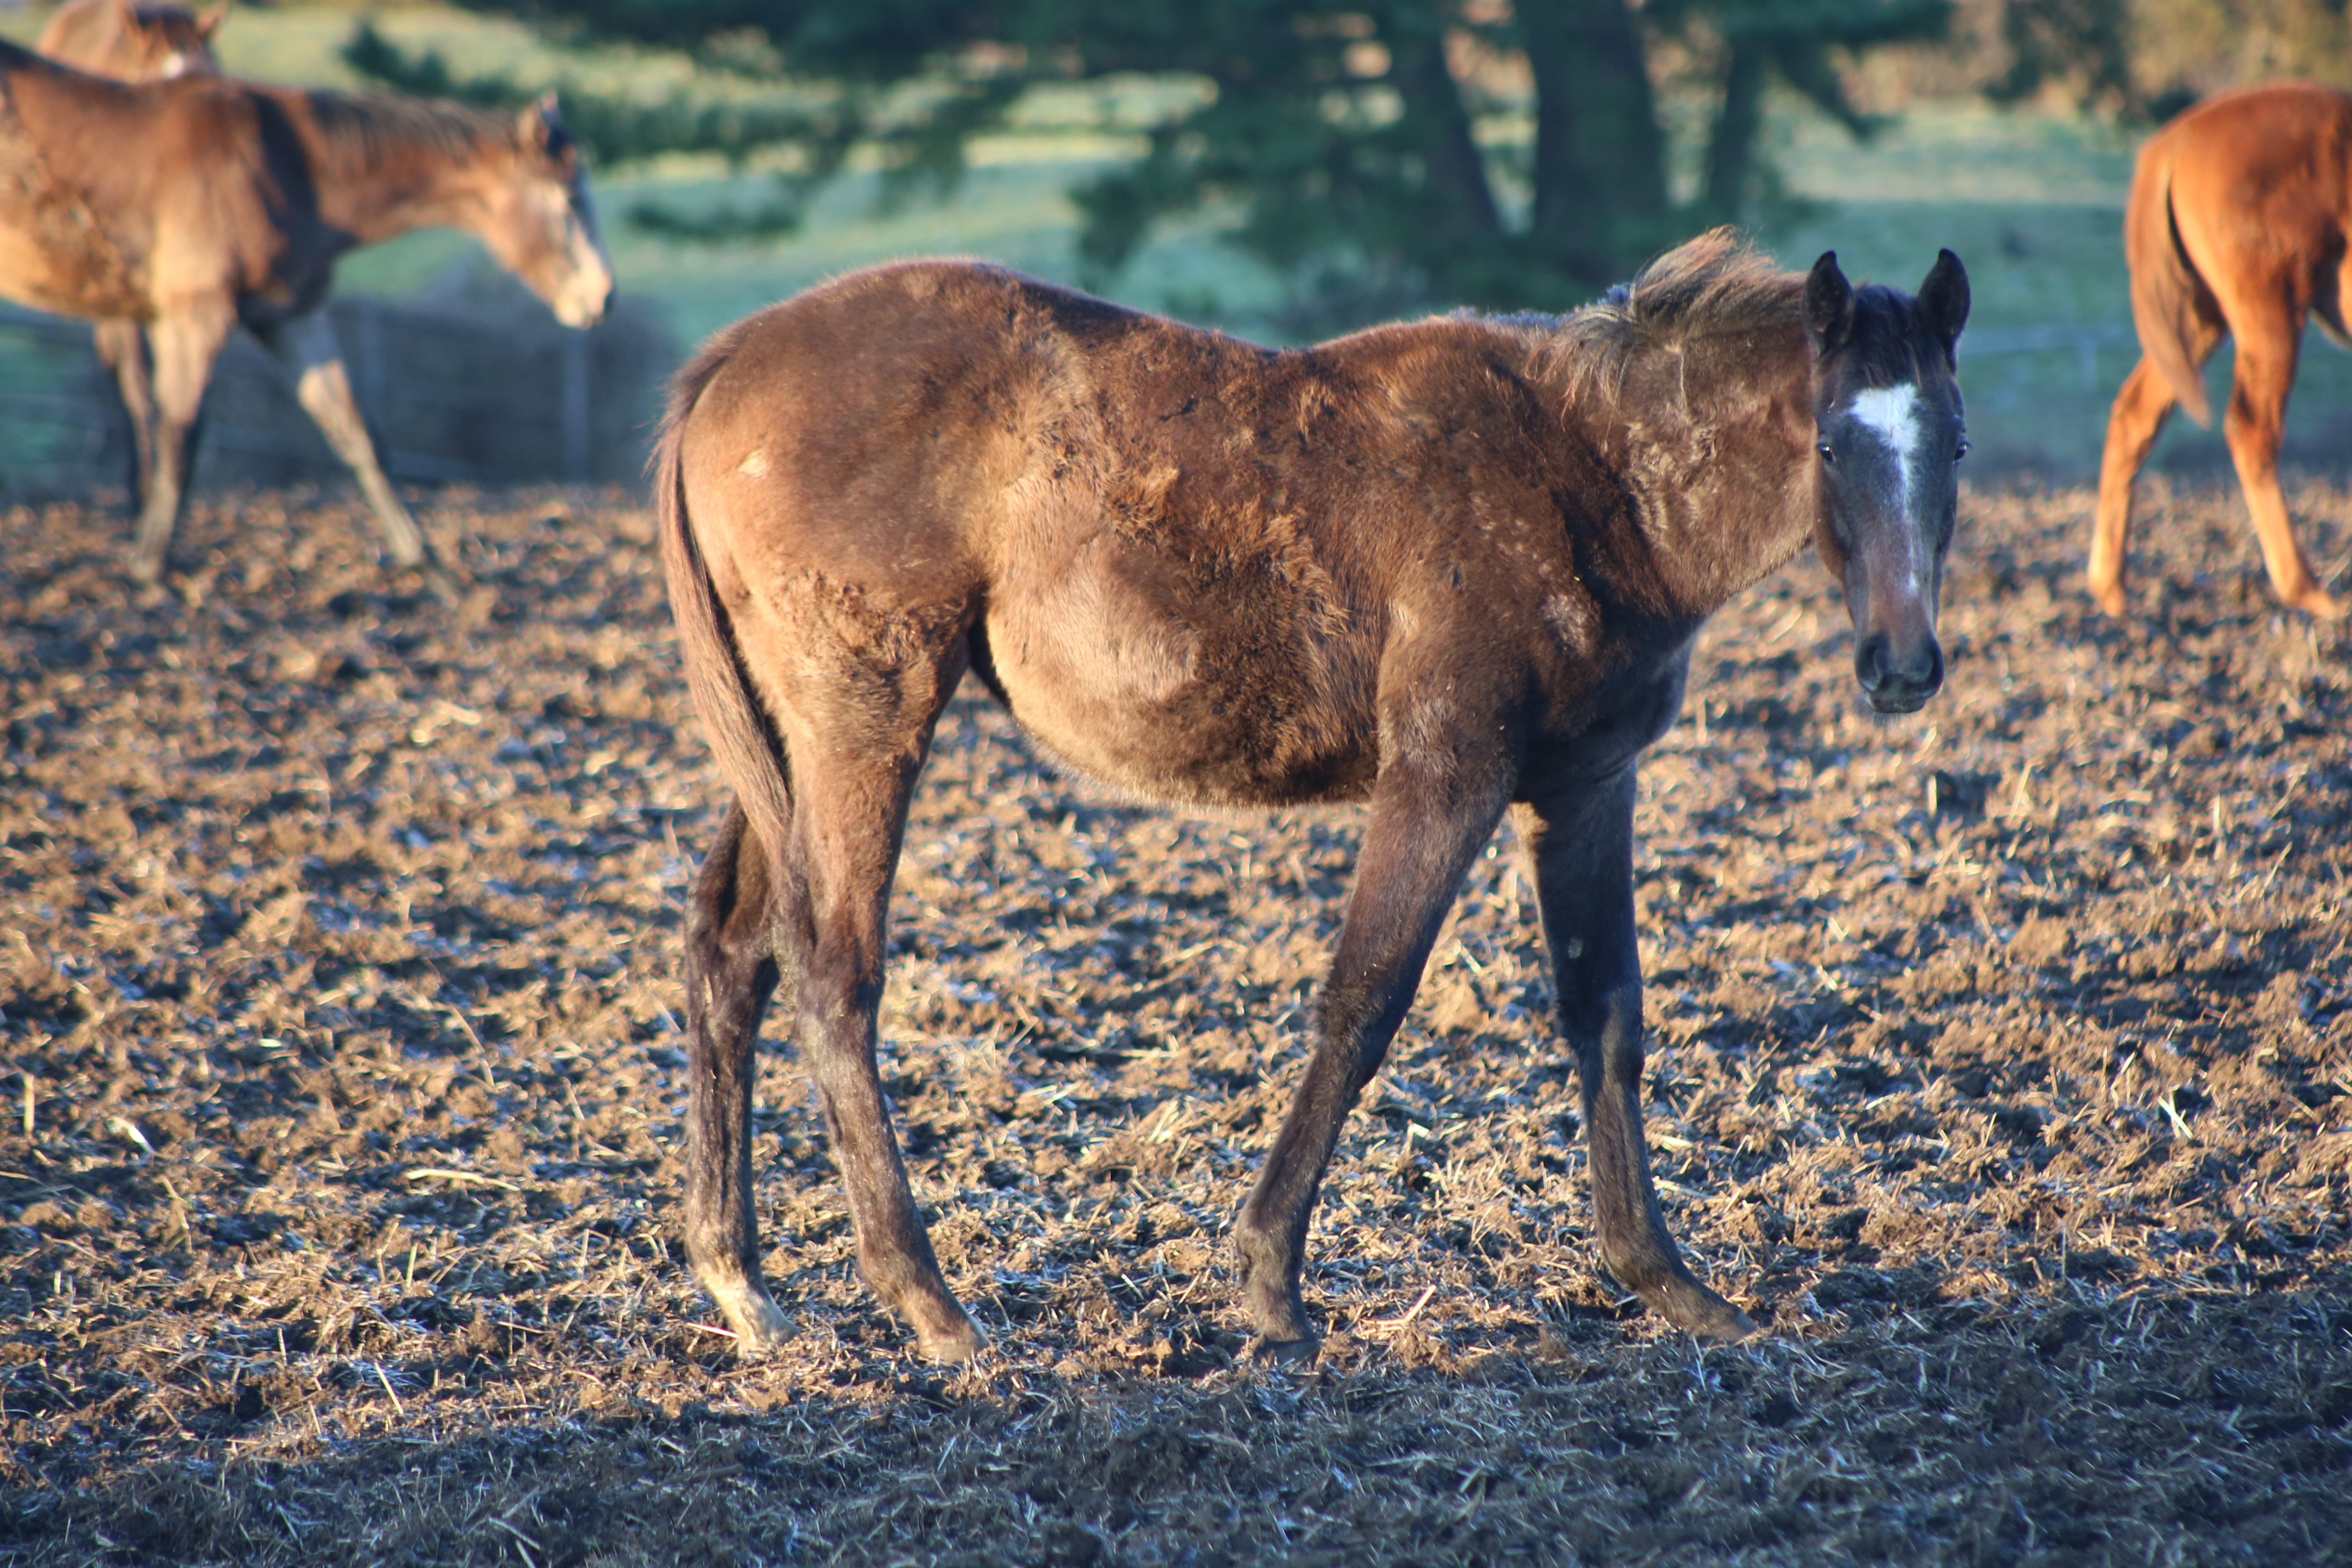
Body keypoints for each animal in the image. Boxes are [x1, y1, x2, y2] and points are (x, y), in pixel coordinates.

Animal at [0, 38, 616, 587]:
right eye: (569, 202)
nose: (602, 297)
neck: (285, 165)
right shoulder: (194, 318)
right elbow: (180, 437)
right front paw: (150, 573)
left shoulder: (292, 320)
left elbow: (360, 437)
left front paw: (437, 575)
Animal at [649, 232, 1966, 1363]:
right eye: (1831, 446)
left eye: (1950, 447)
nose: (1903, 667)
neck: (1591, 477)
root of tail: (727, 364)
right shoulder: (1444, 772)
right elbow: (1363, 1001)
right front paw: (1270, 1283)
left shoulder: (1587, 787)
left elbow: (1607, 1015)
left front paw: (1668, 1282)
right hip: (863, 724)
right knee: (833, 972)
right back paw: (929, 1303)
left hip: (787, 747)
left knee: (731, 951)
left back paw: (745, 1284)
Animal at [2098, 83, 2352, 616]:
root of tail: (2177, 140)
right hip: (2269, 314)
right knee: (2252, 430)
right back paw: (2310, 591)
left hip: (2200, 317)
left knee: (2136, 415)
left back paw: (2110, 590)